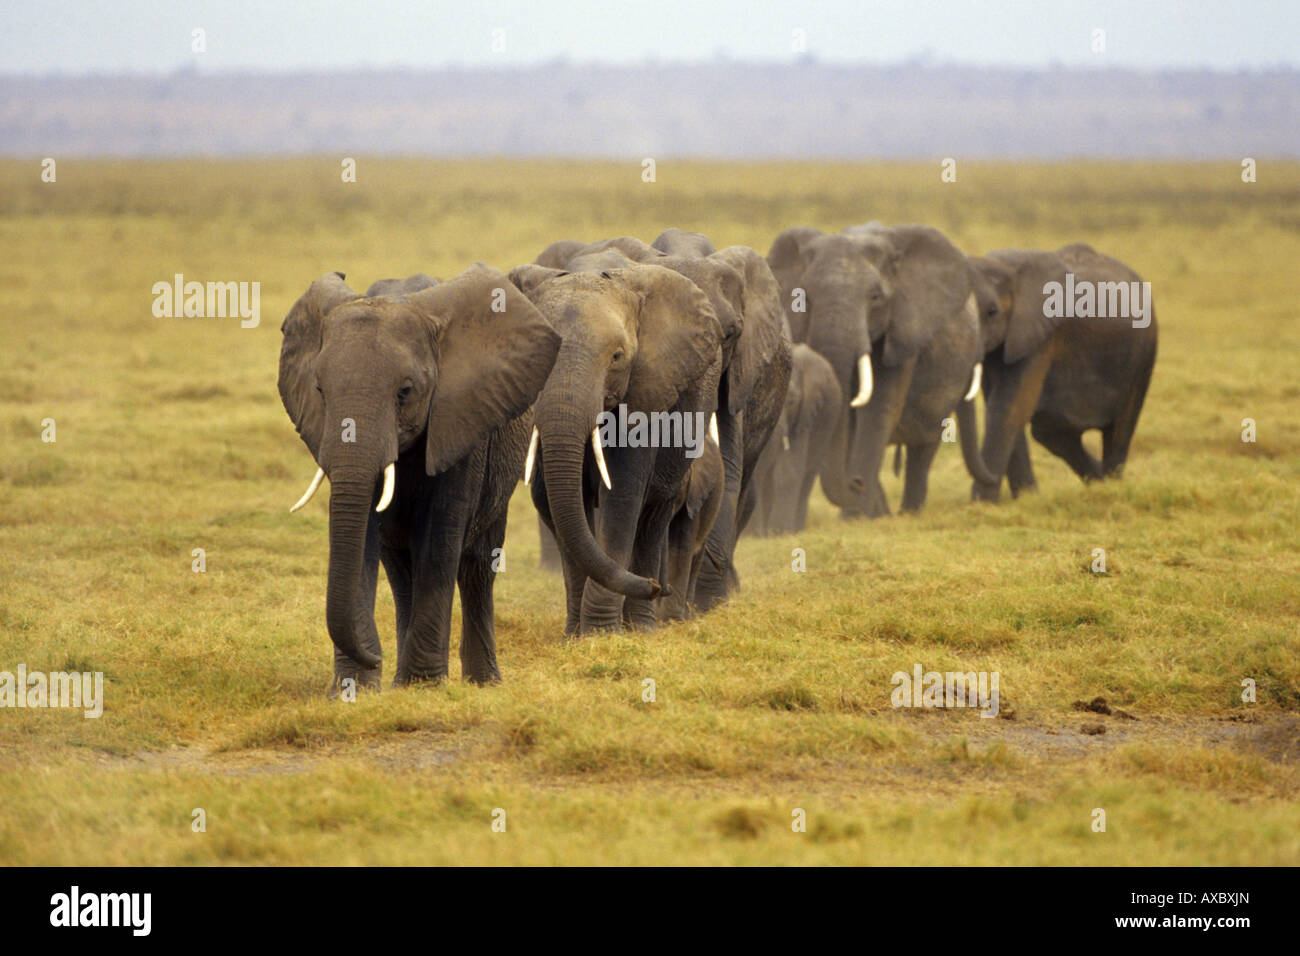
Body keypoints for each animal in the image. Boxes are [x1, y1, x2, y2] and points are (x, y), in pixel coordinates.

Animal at [276, 265, 561, 691]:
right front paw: (353, 690)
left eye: (406, 391)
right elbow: (363, 537)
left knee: (477, 565)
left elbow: (439, 539)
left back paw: (481, 683)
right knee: (400, 569)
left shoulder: (460, 417)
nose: (374, 654)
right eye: (320, 390)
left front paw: (424, 685)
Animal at [504, 261, 728, 634]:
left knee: (653, 516)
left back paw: (641, 627)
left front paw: (601, 632)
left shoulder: (646, 388)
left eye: (617, 356)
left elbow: (621, 497)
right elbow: (560, 502)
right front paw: (577, 636)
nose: (656, 587)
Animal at [754, 343, 842, 538]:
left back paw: (795, 529)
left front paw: (781, 533)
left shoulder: (806, 413)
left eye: (792, 401)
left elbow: (788, 470)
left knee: (808, 475)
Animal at [764, 225, 987, 520]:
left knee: (924, 445)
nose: (856, 481)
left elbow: (879, 409)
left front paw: (858, 515)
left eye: (875, 297)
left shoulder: (903, 326)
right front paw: (861, 512)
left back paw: (908, 512)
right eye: (805, 298)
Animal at [967, 240, 1159, 502]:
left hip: (1143, 354)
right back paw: (1100, 483)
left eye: (992, 312)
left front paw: (982, 505)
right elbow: (1001, 404)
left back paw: (1113, 488)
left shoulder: (1041, 333)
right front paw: (1027, 499)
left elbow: (1009, 405)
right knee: (1052, 431)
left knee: (1119, 429)